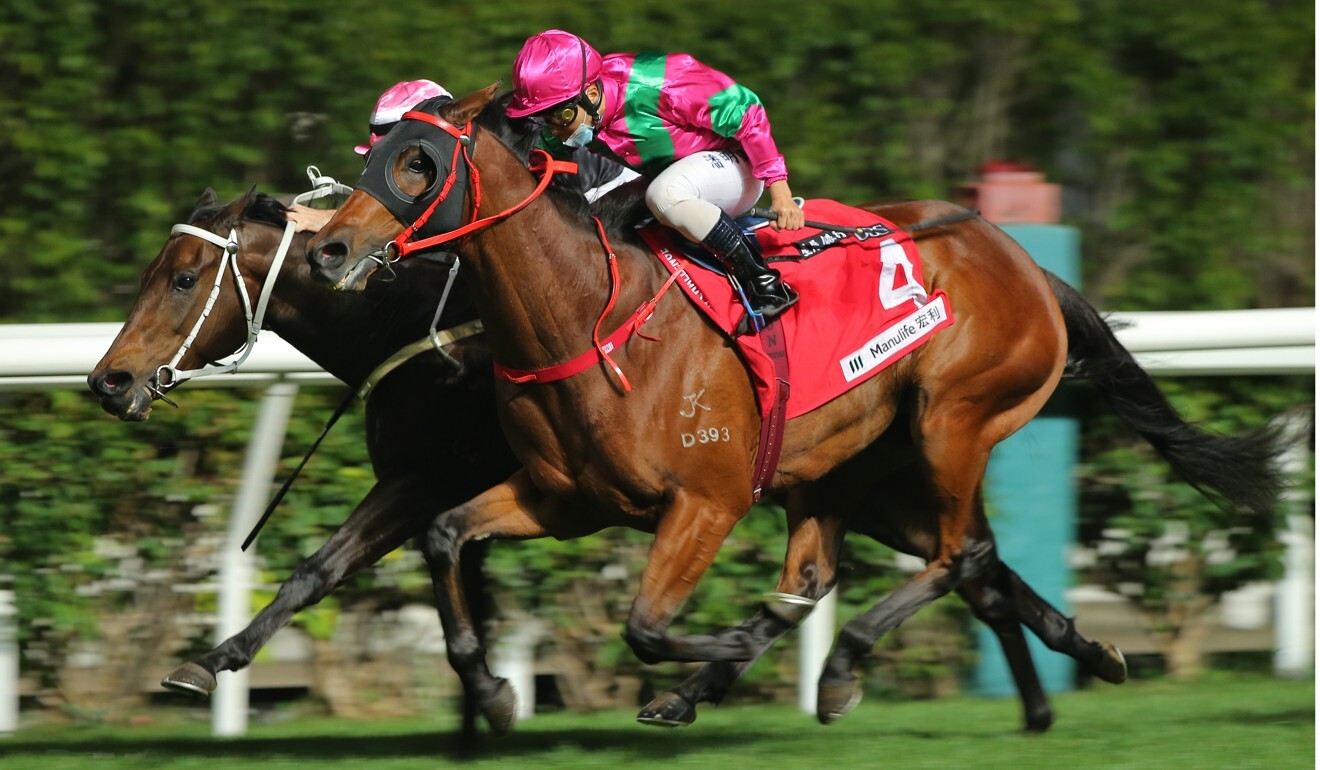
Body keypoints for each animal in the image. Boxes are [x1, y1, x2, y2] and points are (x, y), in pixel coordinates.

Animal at [302, 85, 1277, 729]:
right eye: (371, 156)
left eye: (418, 162)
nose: (330, 251)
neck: (592, 319)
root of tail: (1023, 259)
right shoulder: (566, 498)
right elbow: (444, 535)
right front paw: (493, 690)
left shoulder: (707, 501)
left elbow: (645, 626)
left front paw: (734, 645)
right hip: (844, 462)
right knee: (858, 569)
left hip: (954, 419)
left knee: (959, 555)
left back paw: (838, 665)